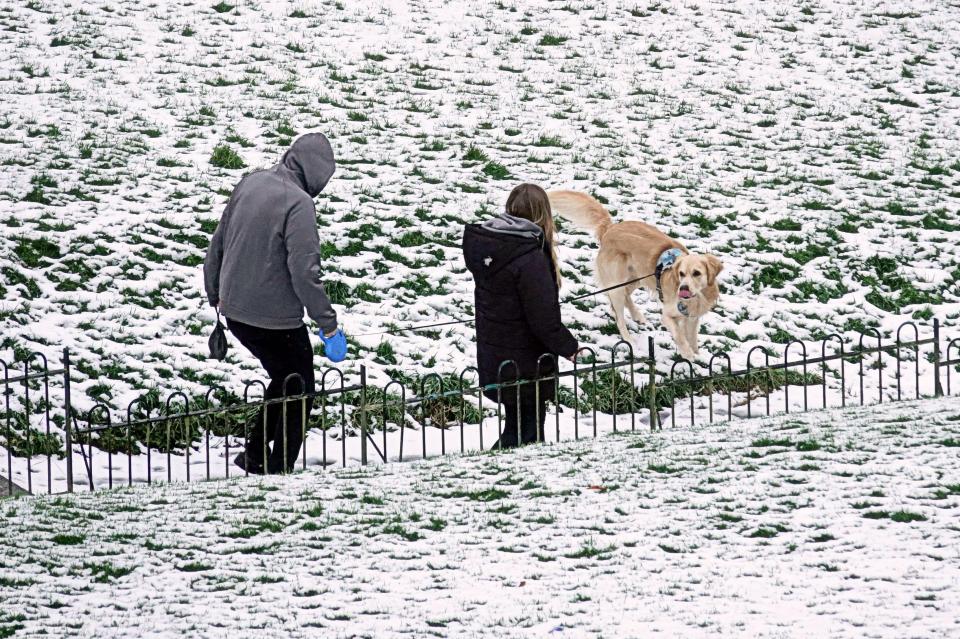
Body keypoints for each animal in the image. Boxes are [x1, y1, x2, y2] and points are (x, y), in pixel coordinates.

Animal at [548, 190, 720, 360]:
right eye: (681, 274)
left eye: (697, 273)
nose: (683, 288)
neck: (696, 298)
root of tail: (610, 229)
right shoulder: (668, 315)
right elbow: (679, 335)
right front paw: (688, 353)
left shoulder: (693, 318)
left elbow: (692, 338)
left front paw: (697, 354)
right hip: (617, 283)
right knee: (619, 315)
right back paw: (629, 339)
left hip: (638, 278)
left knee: (625, 295)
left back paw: (637, 315)